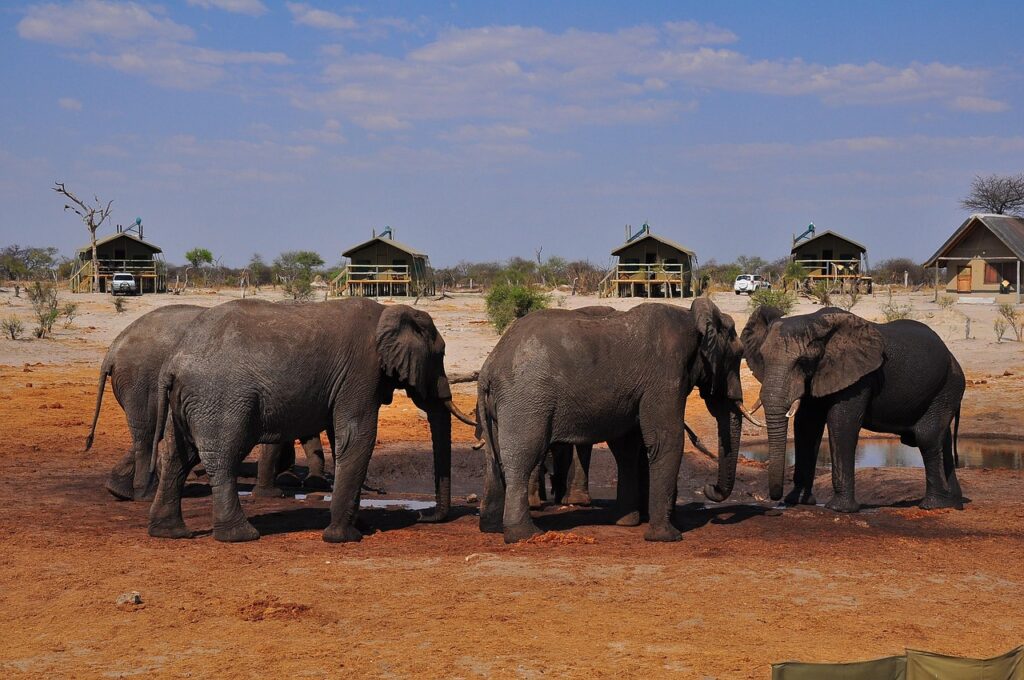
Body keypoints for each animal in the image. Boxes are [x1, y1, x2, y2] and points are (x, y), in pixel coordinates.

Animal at [148, 298, 475, 543]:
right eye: (440, 354)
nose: (423, 515)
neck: (389, 310)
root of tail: (172, 363)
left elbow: (342, 438)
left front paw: (360, 527)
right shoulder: (361, 370)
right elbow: (357, 436)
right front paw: (345, 537)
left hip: (188, 400)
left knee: (177, 457)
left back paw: (170, 533)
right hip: (220, 398)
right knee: (223, 458)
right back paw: (241, 536)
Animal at [476, 298, 758, 543]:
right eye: (738, 355)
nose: (710, 488)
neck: (691, 316)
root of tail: (490, 366)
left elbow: (627, 446)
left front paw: (627, 523)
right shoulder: (666, 373)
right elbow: (666, 439)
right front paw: (667, 537)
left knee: (494, 459)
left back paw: (491, 527)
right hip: (526, 399)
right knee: (522, 458)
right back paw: (524, 536)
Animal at [741, 305, 965, 512]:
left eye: (803, 361)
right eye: (762, 358)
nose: (775, 499)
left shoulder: (858, 377)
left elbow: (841, 424)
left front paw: (839, 509)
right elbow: (807, 425)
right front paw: (797, 501)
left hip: (948, 386)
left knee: (927, 436)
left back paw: (933, 505)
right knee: (941, 438)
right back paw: (954, 503)